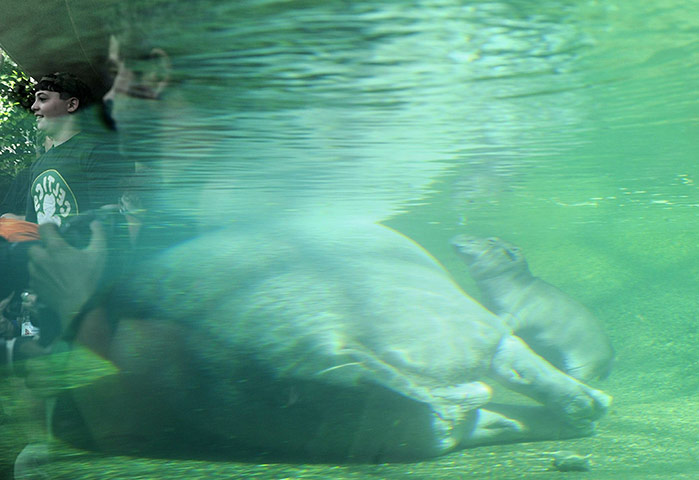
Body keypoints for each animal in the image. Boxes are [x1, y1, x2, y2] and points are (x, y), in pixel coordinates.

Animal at [451, 234, 614, 381]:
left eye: (491, 241)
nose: (462, 235)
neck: (511, 276)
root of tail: (609, 362)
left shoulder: (512, 313)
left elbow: (502, 325)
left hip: (581, 367)